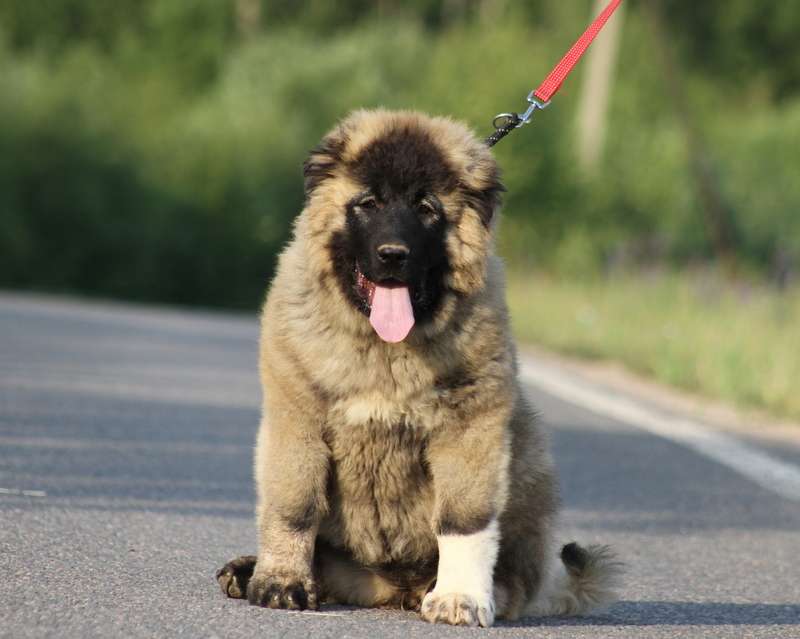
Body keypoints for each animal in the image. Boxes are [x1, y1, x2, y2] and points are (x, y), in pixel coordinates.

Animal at [216, 109, 620, 624]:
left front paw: (460, 597)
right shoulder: (296, 416)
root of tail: (392, 587)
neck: (386, 350)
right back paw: (251, 571)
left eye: (427, 209)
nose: (393, 255)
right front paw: (282, 581)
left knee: (511, 575)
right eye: (368, 203)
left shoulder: (471, 427)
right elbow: (293, 505)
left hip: (528, 460)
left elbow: (464, 520)